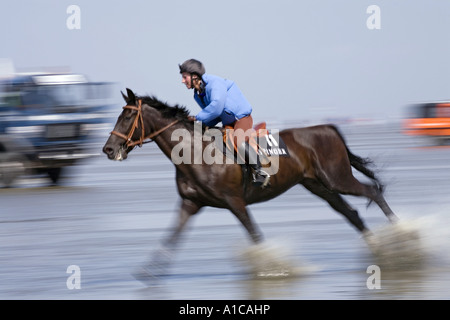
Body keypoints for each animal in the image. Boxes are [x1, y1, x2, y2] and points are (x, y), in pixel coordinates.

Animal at [101, 88, 398, 278]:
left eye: (127, 117)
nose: (108, 149)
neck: (194, 153)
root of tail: (328, 128)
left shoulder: (235, 201)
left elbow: (255, 235)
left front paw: (274, 268)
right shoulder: (190, 203)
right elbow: (172, 236)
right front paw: (149, 271)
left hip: (337, 178)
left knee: (372, 191)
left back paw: (400, 233)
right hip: (320, 187)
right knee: (352, 213)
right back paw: (381, 248)